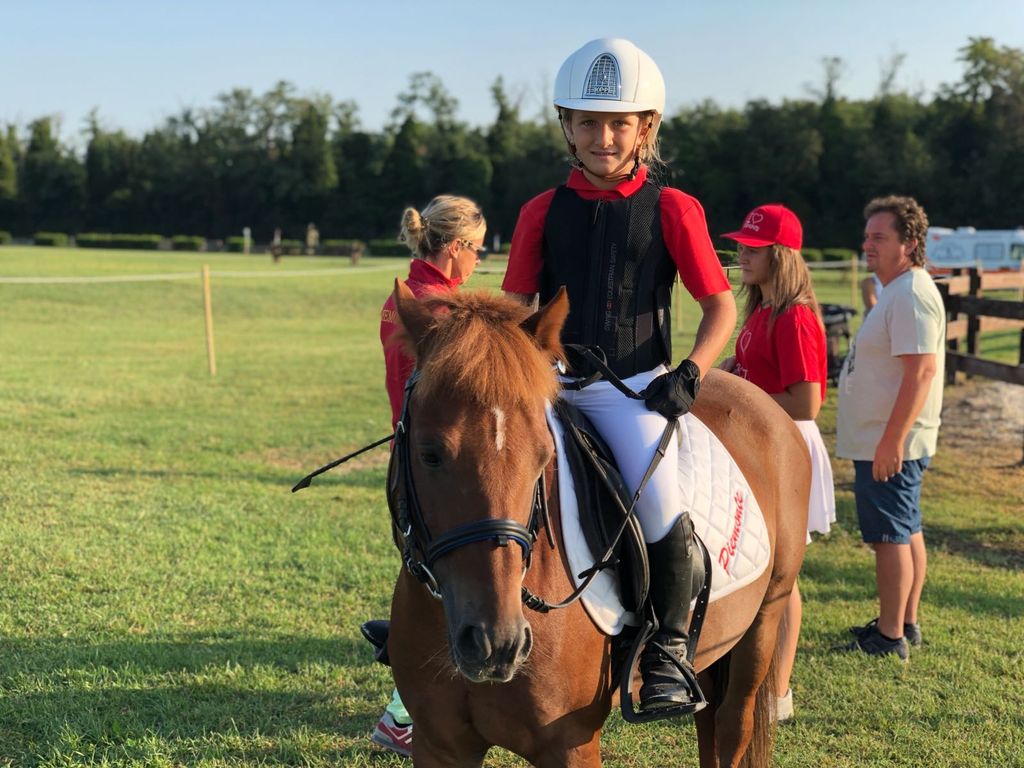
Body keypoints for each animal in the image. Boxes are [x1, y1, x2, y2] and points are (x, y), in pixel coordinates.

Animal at [386, 280, 809, 768]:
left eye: (543, 456)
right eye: (429, 453)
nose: (496, 643)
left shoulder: (570, 744)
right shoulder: (438, 745)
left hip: (764, 618)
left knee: (733, 724)